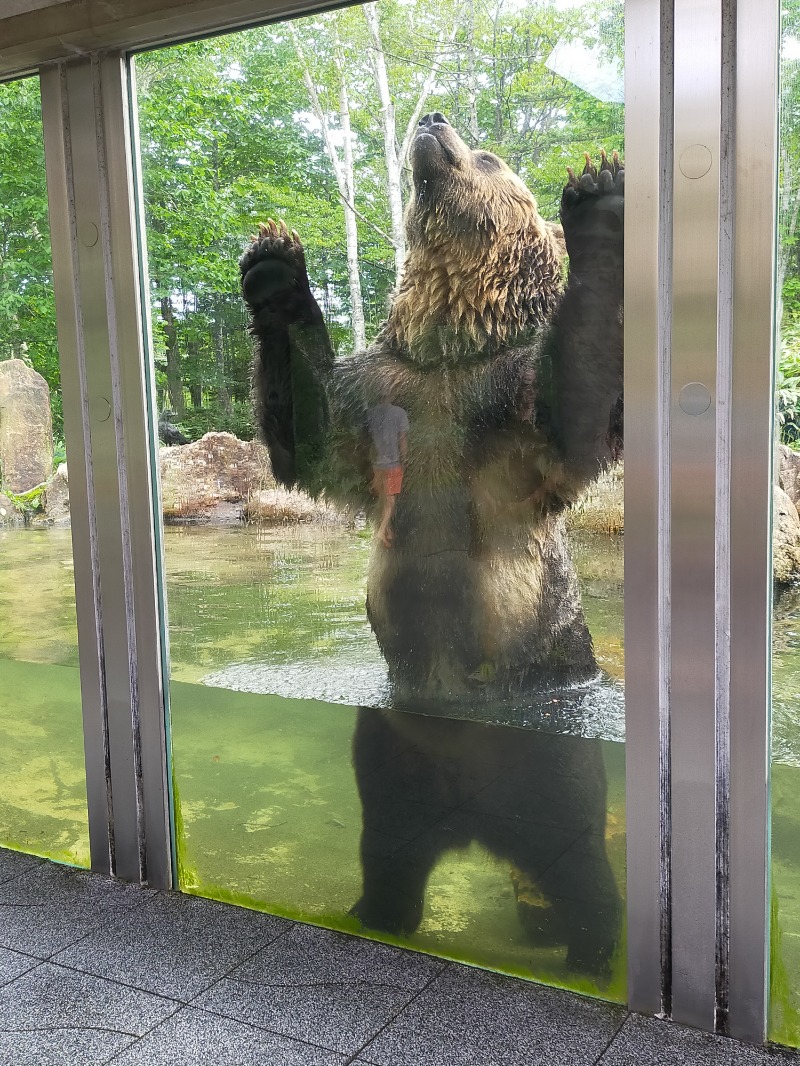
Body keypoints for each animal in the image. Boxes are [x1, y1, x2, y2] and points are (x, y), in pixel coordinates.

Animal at [237, 114, 627, 976]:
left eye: (486, 154)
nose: (433, 119)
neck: (447, 354)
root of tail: (475, 824)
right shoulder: (382, 398)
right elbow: (310, 433)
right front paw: (275, 267)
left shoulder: (507, 409)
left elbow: (578, 408)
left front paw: (599, 194)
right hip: (390, 761)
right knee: (390, 851)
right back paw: (374, 913)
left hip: (546, 755)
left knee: (578, 865)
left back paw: (589, 950)